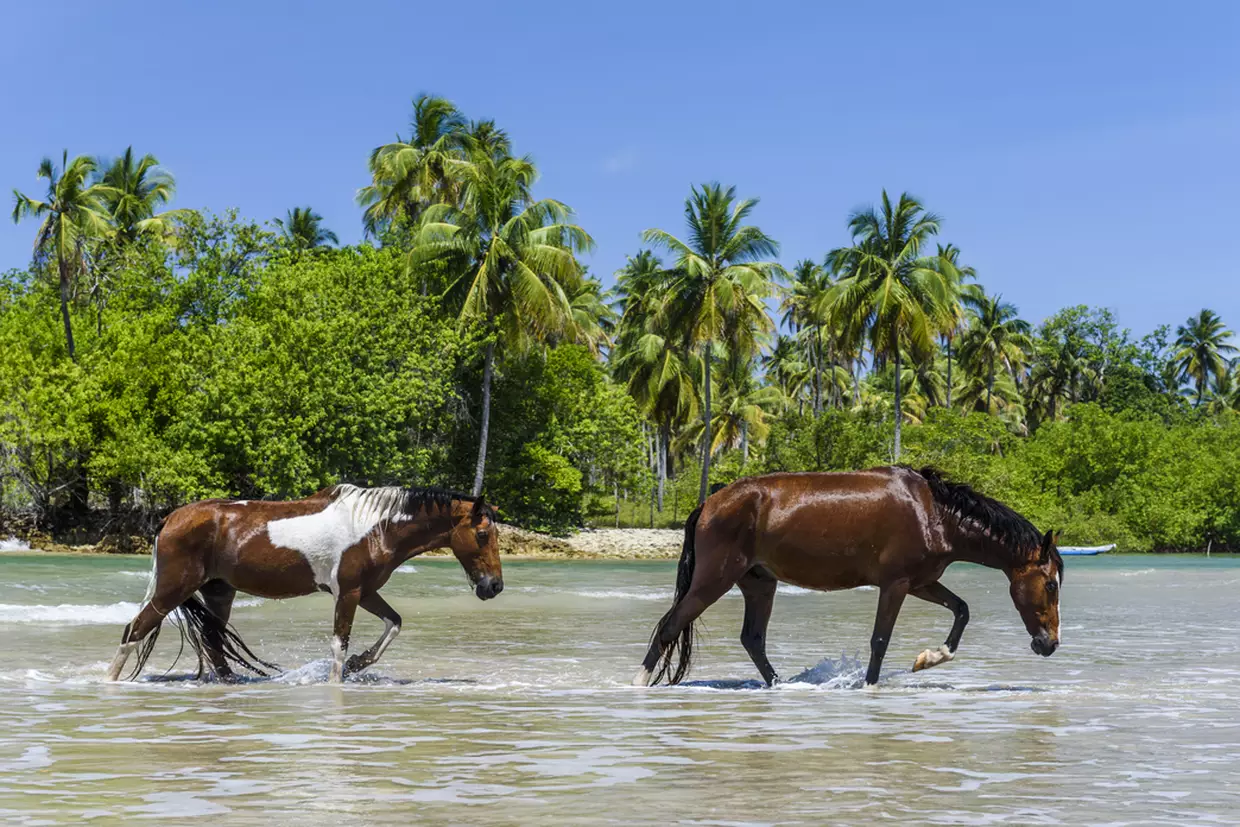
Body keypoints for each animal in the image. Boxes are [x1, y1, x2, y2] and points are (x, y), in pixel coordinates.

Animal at [106, 481, 500, 684]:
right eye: (482, 535)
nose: (493, 586)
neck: (375, 528)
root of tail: (170, 518)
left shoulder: (366, 592)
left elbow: (394, 624)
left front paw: (358, 663)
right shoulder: (348, 593)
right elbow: (339, 644)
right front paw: (338, 678)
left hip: (218, 591)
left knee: (213, 641)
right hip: (172, 590)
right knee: (134, 631)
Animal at [634, 468, 1061, 689]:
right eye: (1052, 584)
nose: (1049, 644)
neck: (933, 513)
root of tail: (710, 503)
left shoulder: (921, 582)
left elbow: (962, 610)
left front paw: (930, 659)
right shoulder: (896, 585)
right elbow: (880, 640)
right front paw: (870, 686)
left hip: (759, 584)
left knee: (752, 639)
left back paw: (782, 685)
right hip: (714, 580)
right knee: (671, 625)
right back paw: (638, 685)